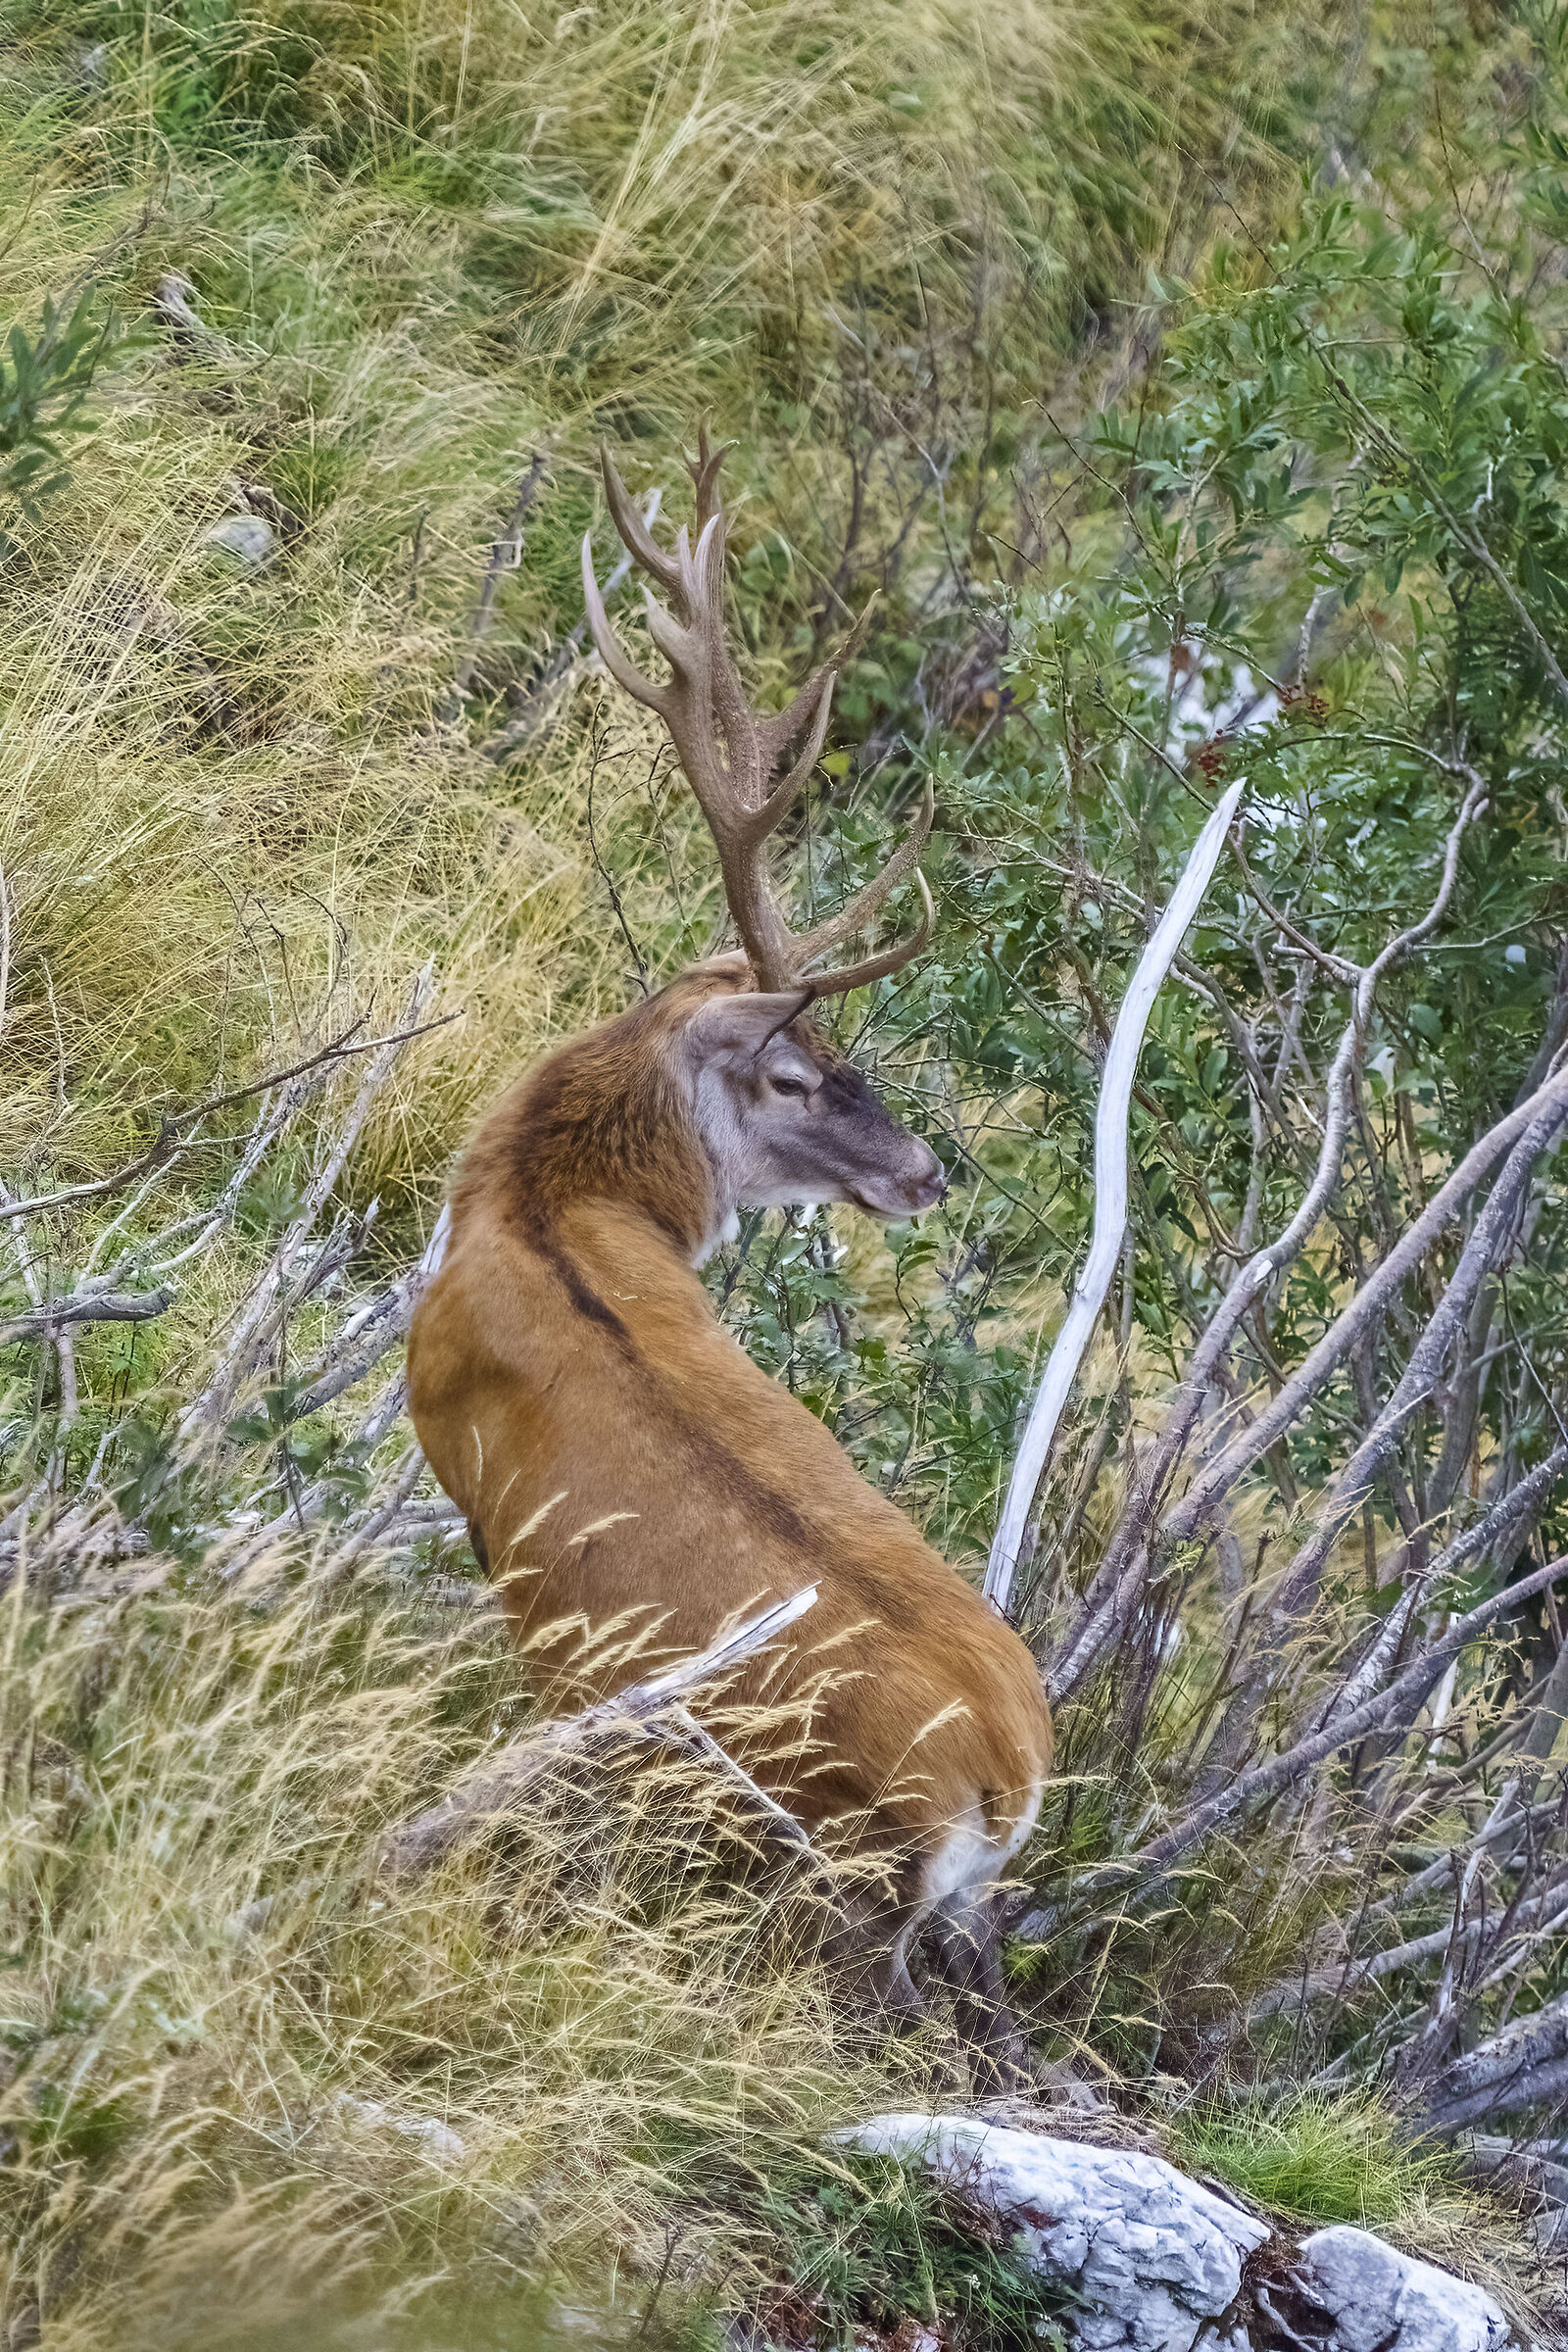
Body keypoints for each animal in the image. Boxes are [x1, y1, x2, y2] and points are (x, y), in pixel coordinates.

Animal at [406, 433, 1053, 2078]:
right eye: (798, 1072)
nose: (923, 1170)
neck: (540, 1202)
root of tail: (1008, 1767)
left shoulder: (476, 1502)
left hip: (806, 1860)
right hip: (945, 1901)